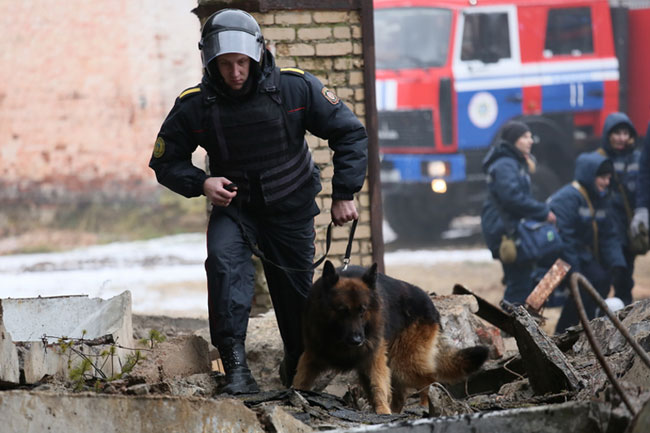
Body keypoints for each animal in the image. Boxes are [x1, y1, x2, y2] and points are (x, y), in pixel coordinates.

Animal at [290, 260, 486, 412]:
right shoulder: (312, 356)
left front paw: (383, 411)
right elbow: (300, 380)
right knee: (401, 394)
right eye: (342, 311)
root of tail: (430, 304)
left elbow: (379, 387)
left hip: (402, 363)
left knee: (429, 379)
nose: (357, 341)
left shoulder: (374, 359)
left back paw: (425, 404)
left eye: (362, 310)